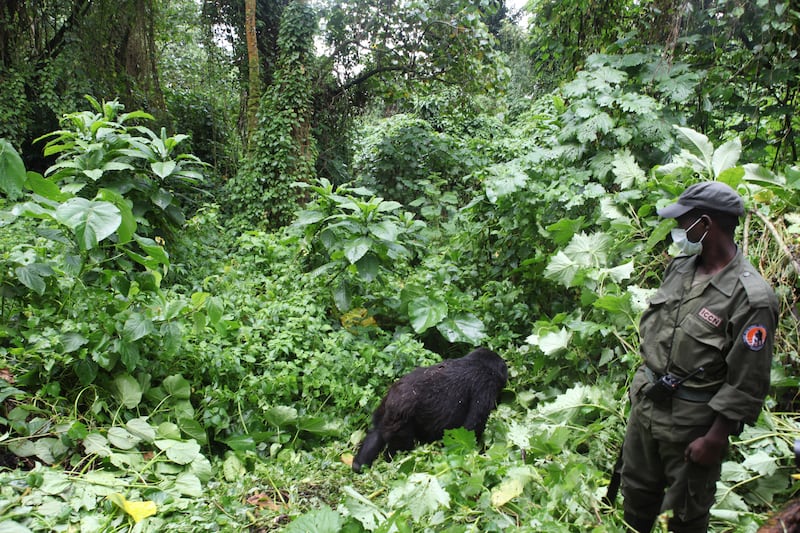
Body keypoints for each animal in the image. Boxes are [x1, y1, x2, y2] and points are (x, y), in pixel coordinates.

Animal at [354, 348, 510, 472]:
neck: (479, 362)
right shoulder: (485, 386)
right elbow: (472, 427)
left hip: (385, 406)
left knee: (376, 433)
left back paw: (359, 465)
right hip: (401, 421)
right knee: (401, 446)